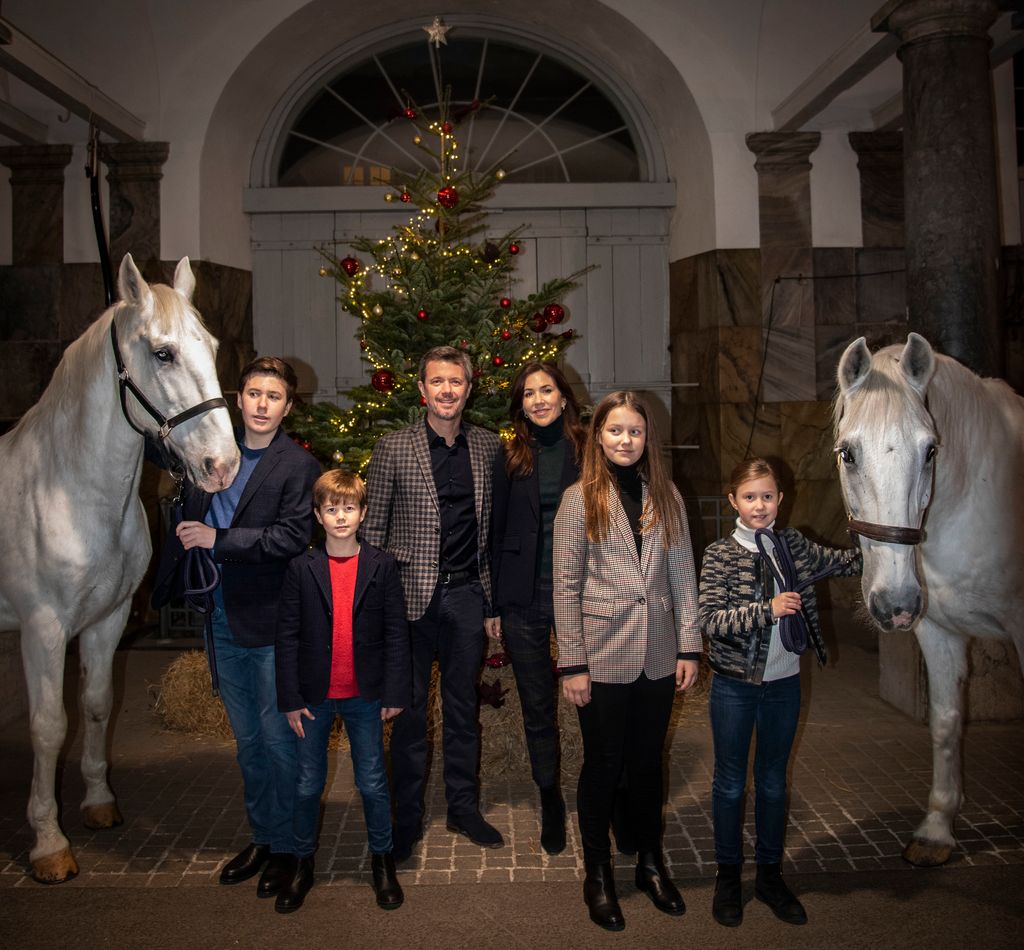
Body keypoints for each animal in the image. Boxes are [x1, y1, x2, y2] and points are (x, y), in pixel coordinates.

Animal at [0, 253, 238, 884]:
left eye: (210, 344)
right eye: (163, 353)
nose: (224, 465)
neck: (69, 489)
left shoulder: (106, 620)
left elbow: (98, 704)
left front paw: (99, 803)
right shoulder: (43, 629)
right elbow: (49, 725)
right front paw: (49, 844)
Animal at [835, 333, 1019, 868]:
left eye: (931, 449)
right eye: (848, 453)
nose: (895, 604)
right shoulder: (938, 632)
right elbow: (945, 722)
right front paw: (937, 829)